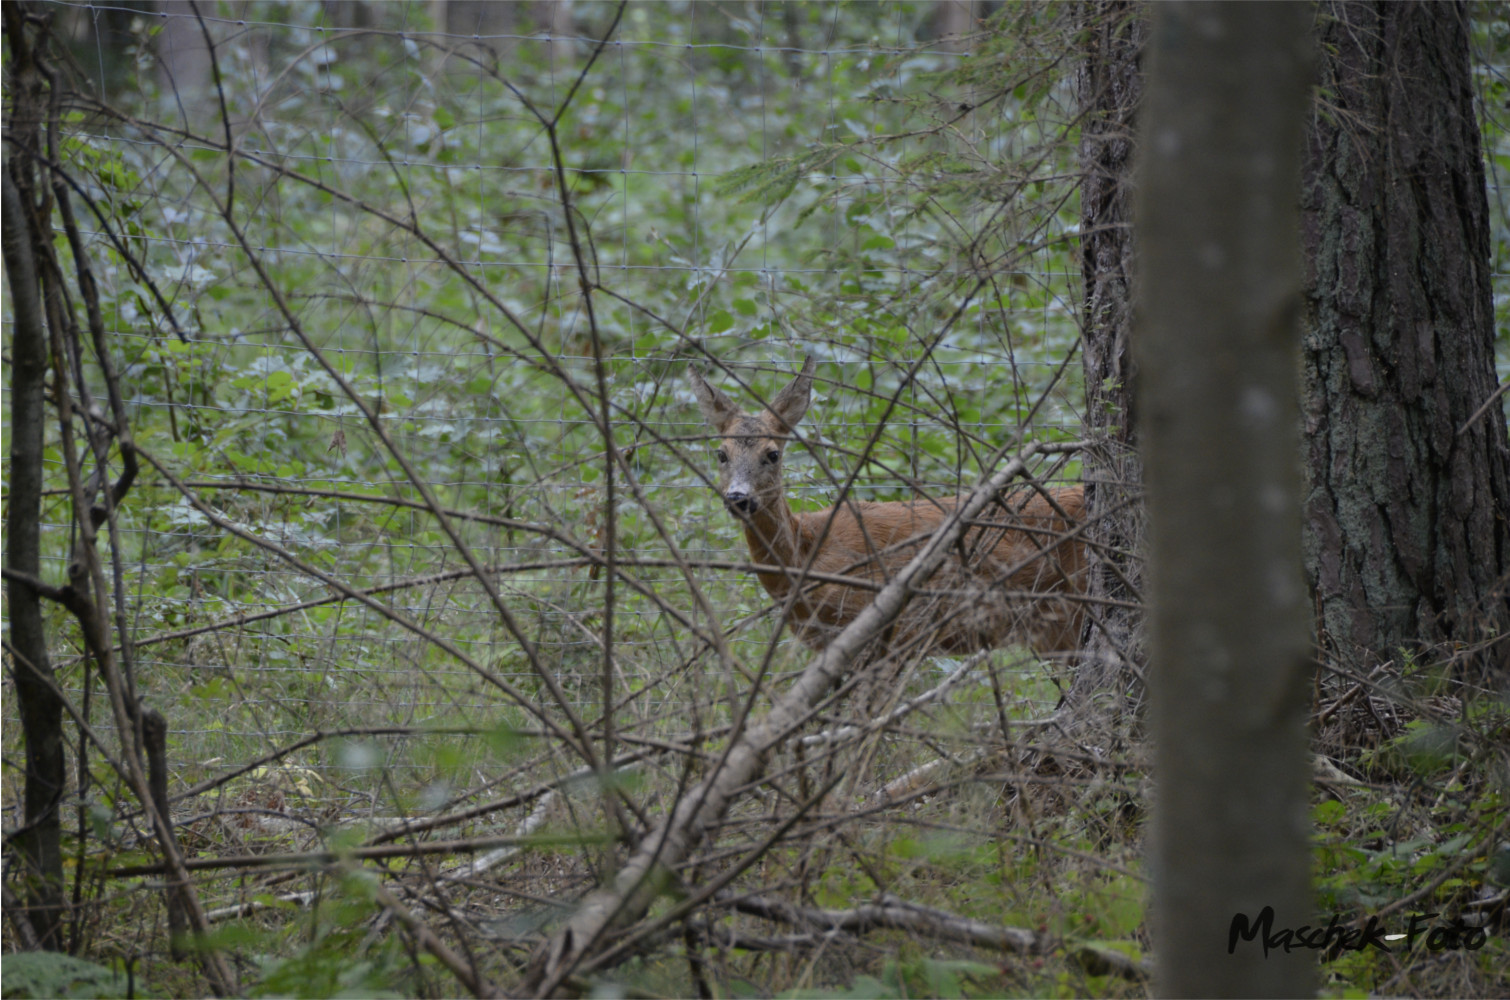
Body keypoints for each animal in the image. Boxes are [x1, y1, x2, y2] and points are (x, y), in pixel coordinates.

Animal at [691, 356, 1093, 661]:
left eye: (772, 454)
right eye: (721, 453)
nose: (739, 498)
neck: (810, 552)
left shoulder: (892, 632)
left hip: (1070, 612)